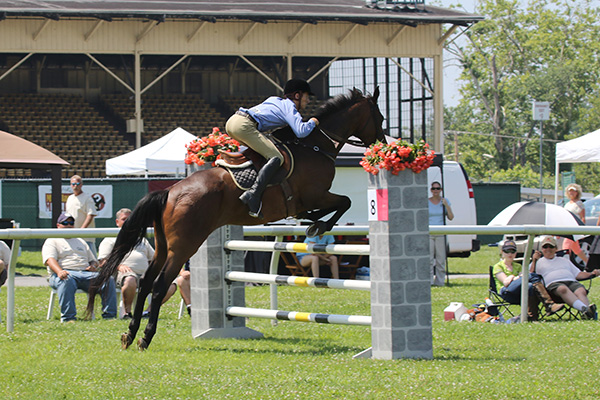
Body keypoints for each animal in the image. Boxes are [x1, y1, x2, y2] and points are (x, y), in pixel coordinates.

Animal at [91, 87, 386, 350]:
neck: (314, 145)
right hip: (184, 246)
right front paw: (318, 225)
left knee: (145, 283)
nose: (382, 145)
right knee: (160, 285)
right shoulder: (317, 195)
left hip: (164, 246)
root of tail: (170, 191)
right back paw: (146, 337)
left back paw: (130, 335)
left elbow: (335, 205)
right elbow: (344, 202)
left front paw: (313, 222)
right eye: (380, 118)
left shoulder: (313, 199)